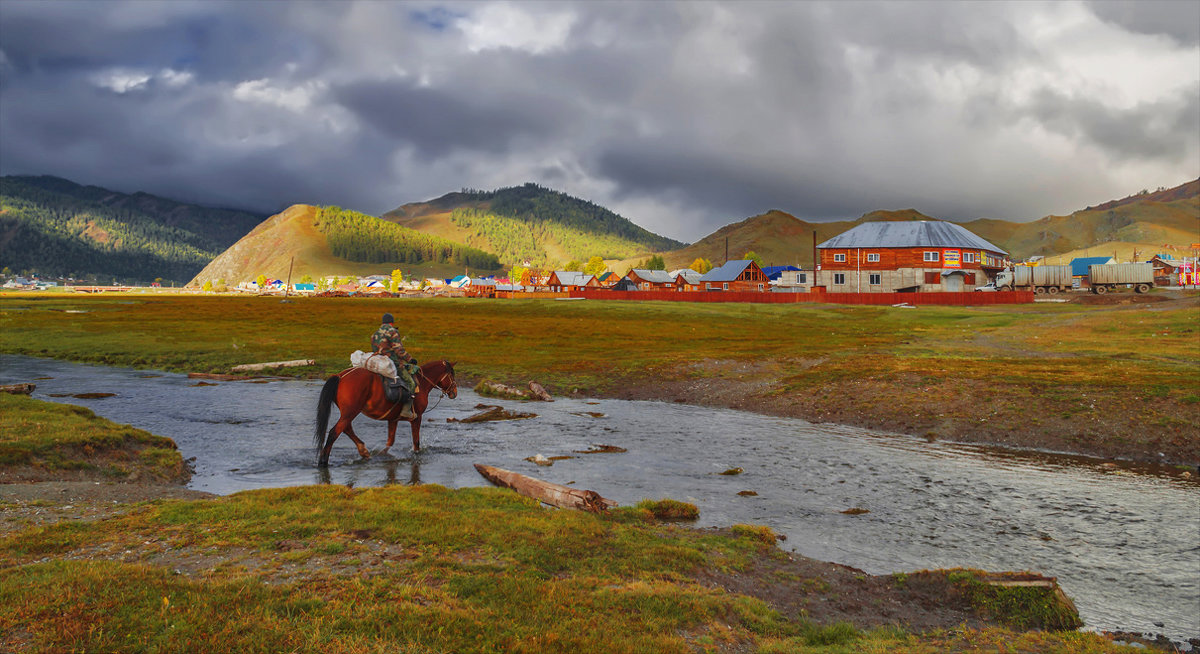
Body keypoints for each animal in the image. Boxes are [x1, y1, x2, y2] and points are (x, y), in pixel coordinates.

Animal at [314, 357, 453, 463]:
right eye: (452, 375)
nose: (454, 392)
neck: (422, 384)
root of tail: (340, 376)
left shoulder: (393, 419)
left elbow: (390, 441)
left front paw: (382, 454)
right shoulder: (417, 417)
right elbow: (416, 441)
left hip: (348, 413)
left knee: (346, 429)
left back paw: (364, 451)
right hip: (351, 412)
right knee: (335, 432)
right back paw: (323, 460)